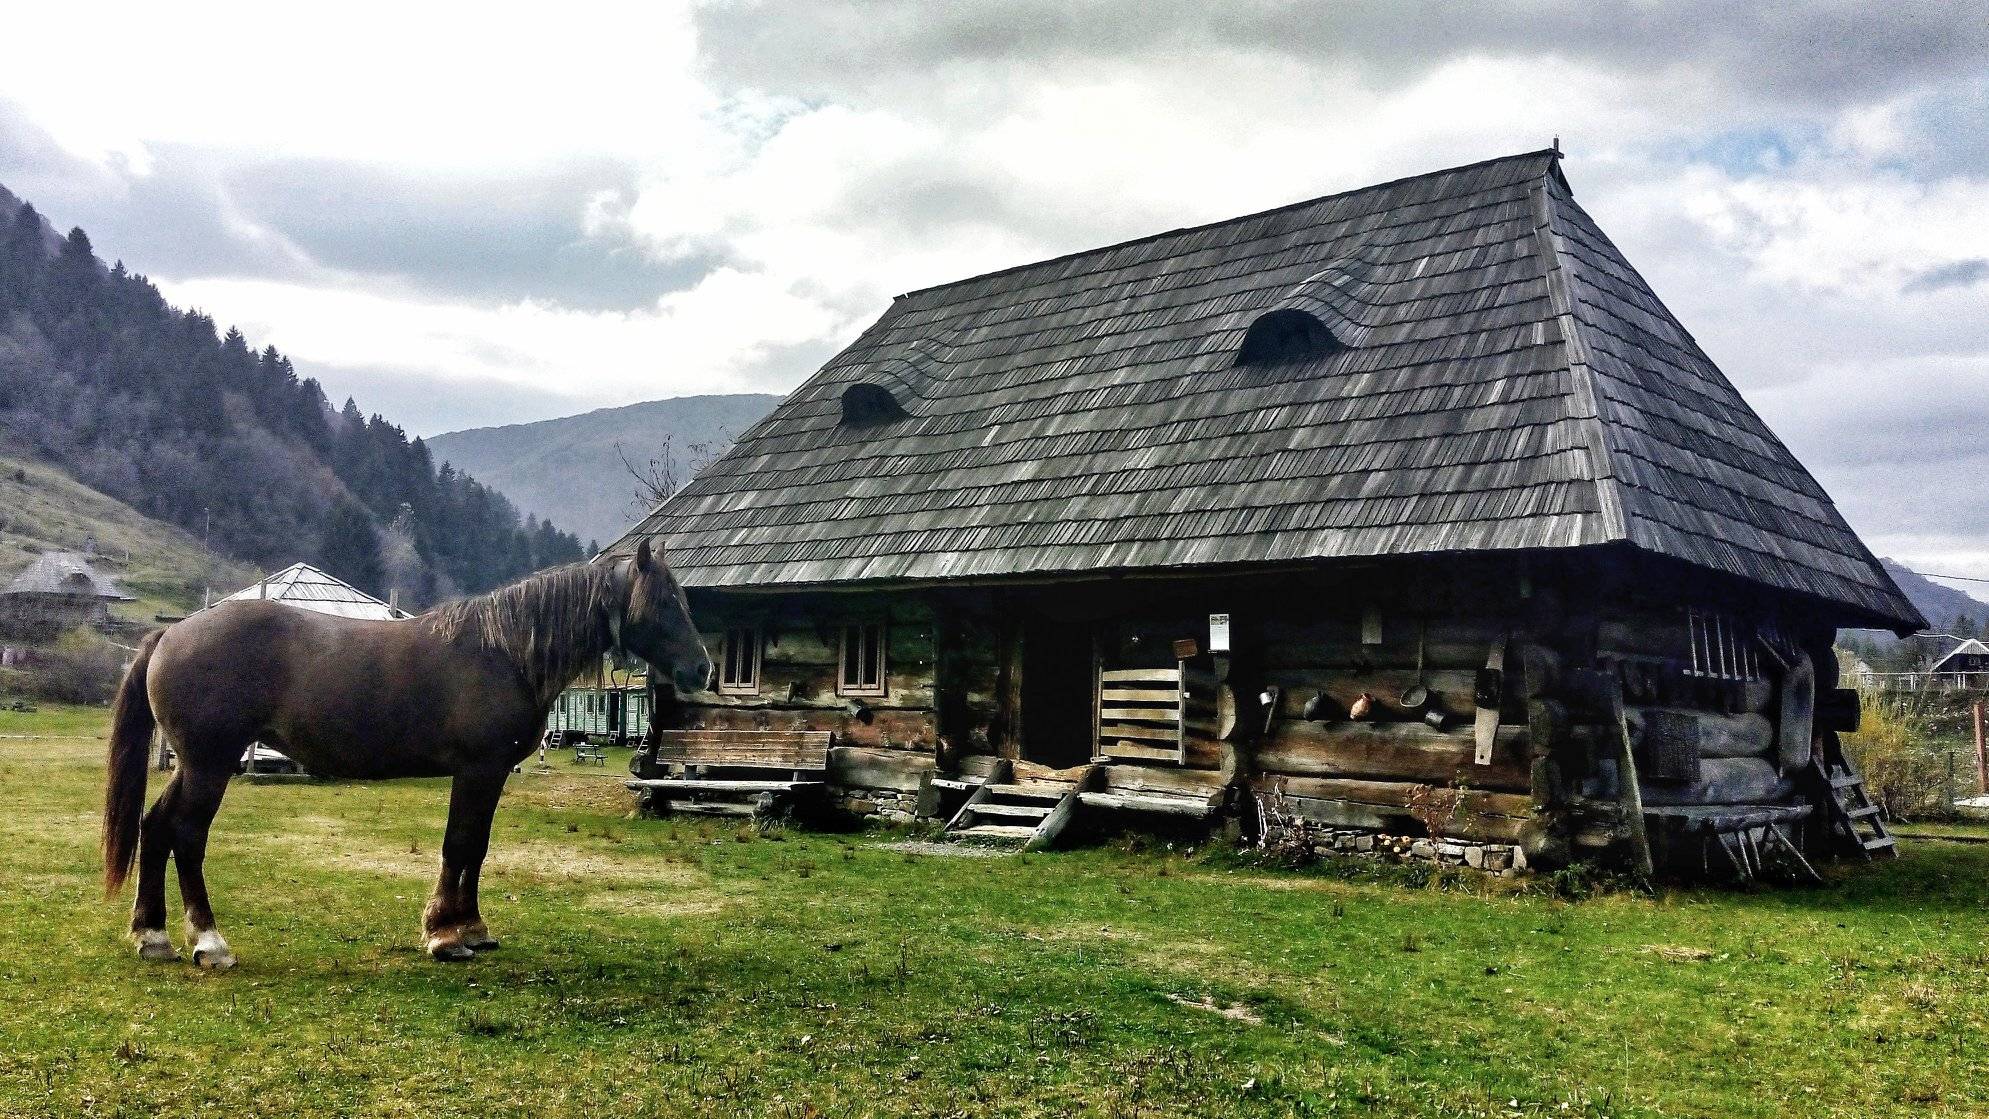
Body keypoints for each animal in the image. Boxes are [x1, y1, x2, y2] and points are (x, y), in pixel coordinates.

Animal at [102, 540, 708, 961]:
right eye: (663, 603)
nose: (701, 669)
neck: (503, 651)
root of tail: (172, 634)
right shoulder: (477, 770)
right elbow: (459, 845)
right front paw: (444, 935)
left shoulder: (492, 774)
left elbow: (477, 848)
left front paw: (473, 928)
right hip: (210, 764)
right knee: (186, 834)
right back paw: (209, 941)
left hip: (196, 764)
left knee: (156, 827)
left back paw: (153, 936)